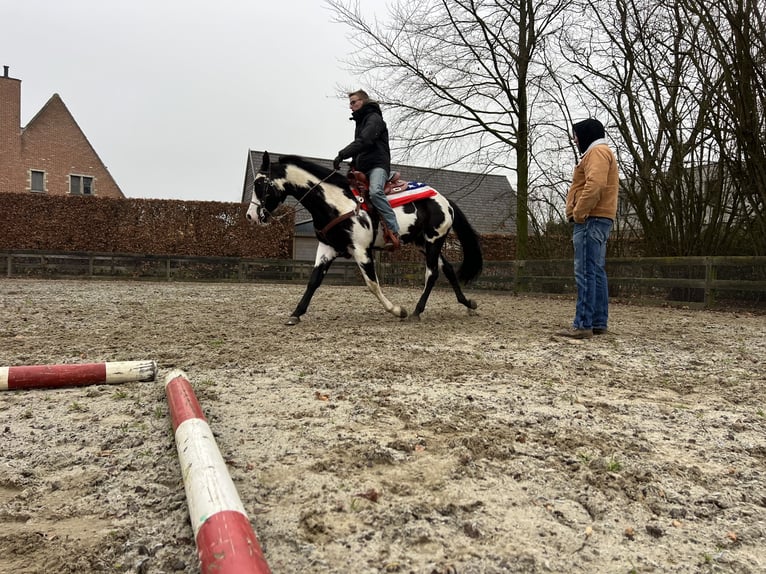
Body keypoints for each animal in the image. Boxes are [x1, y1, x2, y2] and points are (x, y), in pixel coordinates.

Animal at [248, 151, 486, 326]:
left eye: (260, 185)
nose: (250, 216)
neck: (336, 202)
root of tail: (445, 200)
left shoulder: (361, 250)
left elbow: (372, 284)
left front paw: (397, 310)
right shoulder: (326, 248)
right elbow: (314, 280)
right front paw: (296, 313)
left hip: (434, 240)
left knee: (433, 273)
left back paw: (417, 311)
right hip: (422, 243)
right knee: (448, 269)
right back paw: (468, 305)